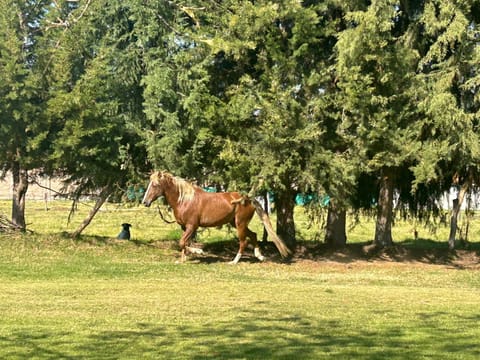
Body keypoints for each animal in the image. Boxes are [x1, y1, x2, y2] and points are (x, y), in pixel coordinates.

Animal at [142, 170, 290, 262]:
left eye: (155, 185)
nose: (145, 202)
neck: (184, 200)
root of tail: (248, 198)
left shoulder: (192, 226)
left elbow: (182, 242)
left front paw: (199, 252)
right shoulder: (184, 227)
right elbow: (184, 243)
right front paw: (183, 260)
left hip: (240, 223)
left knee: (243, 242)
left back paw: (234, 261)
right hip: (235, 223)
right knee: (253, 235)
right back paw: (260, 256)